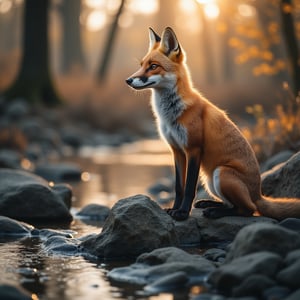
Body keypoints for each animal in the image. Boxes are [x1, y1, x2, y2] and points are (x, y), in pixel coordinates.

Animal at [125, 27, 300, 221]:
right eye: (141, 65)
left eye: (153, 66)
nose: (128, 80)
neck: (170, 115)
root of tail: (258, 194)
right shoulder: (177, 150)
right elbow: (179, 187)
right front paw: (173, 209)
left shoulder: (193, 149)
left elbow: (189, 188)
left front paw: (183, 212)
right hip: (210, 181)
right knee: (233, 204)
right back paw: (209, 204)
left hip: (220, 173)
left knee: (247, 209)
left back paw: (216, 211)